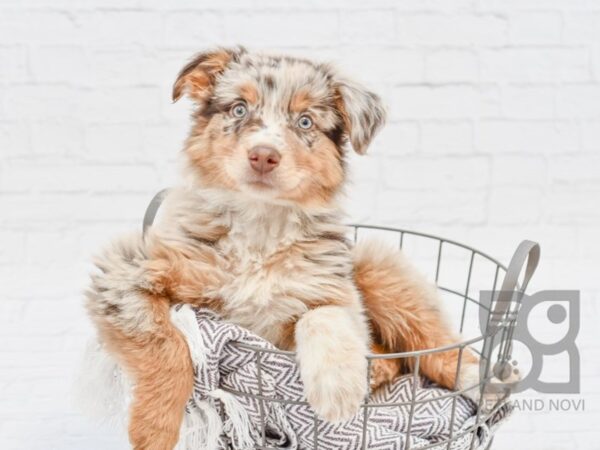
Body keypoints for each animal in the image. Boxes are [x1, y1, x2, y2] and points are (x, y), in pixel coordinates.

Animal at [85, 47, 482, 448]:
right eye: (239, 109)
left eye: (305, 122)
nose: (263, 155)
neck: (260, 225)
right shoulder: (127, 270)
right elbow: (164, 341)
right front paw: (156, 428)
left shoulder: (333, 289)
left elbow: (322, 315)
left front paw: (338, 390)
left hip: (380, 272)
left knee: (437, 347)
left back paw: (479, 381)